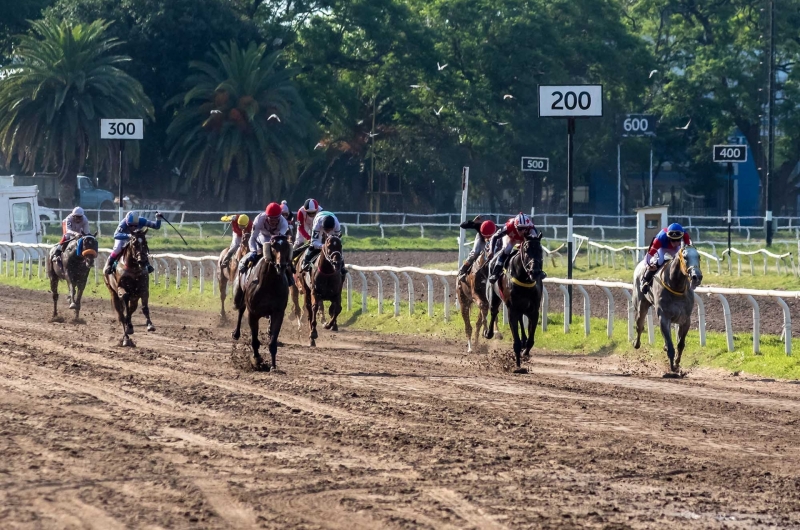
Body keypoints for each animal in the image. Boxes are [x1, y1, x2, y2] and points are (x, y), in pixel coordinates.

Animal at [231, 235, 290, 372]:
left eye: (286, 246)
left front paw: (273, 366)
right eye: (273, 247)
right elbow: (254, 340)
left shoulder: (278, 313)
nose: (281, 266)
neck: (270, 282)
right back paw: (236, 334)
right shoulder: (253, 313)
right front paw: (257, 359)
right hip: (241, 295)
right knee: (240, 310)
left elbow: (273, 341)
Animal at [484, 235, 548, 372]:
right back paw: (489, 333)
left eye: (540, 250)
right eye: (526, 251)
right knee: (493, 311)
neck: (524, 279)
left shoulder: (533, 311)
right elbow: (516, 342)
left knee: (520, 320)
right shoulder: (512, 310)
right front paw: (518, 366)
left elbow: (531, 340)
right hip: (494, 296)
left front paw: (525, 352)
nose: (535, 271)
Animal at [636, 243, 704, 372]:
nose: (696, 276)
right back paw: (636, 343)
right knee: (639, 324)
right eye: (685, 257)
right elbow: (671, 345)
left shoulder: (685, 319)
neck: (676, 286)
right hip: (642, 302)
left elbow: (680, 344)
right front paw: (672, 367)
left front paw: (677, 363)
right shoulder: (664, 317)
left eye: (698, 256)